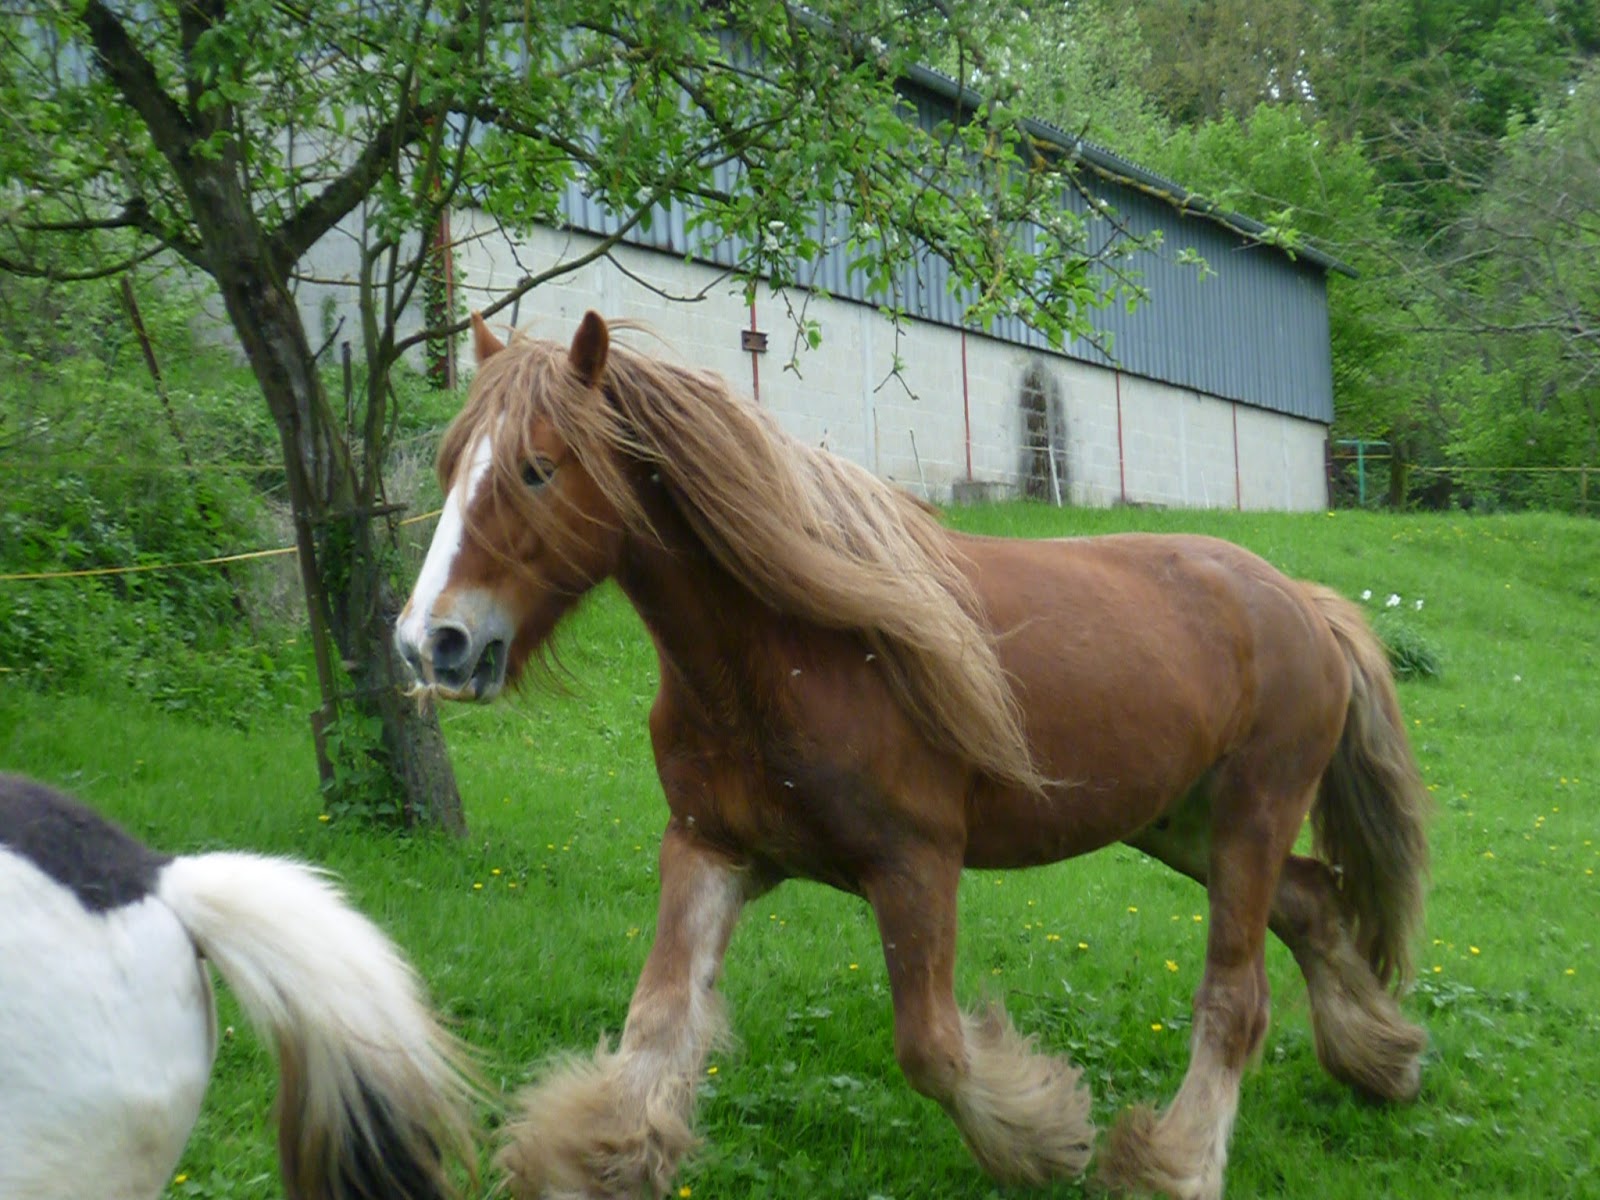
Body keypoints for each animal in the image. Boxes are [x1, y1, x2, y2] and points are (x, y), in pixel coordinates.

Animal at [393, 312, 1433, 1200]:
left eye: (536, 469)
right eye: (449, 464)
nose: (431, 643)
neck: (787, 653)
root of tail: (1305, 602)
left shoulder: (915, 865)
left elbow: (932, 1047)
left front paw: (1046, 1137)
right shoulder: (709, 850)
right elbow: (659, 1023)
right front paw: (591, 1157)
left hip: (1251, 813)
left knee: (1235, 998)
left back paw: (1176, 1165)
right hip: (1182, 823)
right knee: (1314, 903)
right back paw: (1381, 1060)